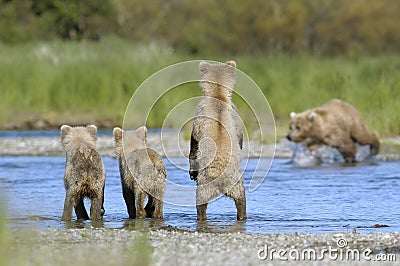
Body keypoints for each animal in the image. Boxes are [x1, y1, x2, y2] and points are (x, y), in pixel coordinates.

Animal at [188, 60, 247, 220]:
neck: (218, 95)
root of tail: (220, 183)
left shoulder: (199, 115)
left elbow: (194, 142)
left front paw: (191, 171)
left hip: (207, 184)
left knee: (201, 203)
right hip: (232, 182)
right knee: (241, 198)